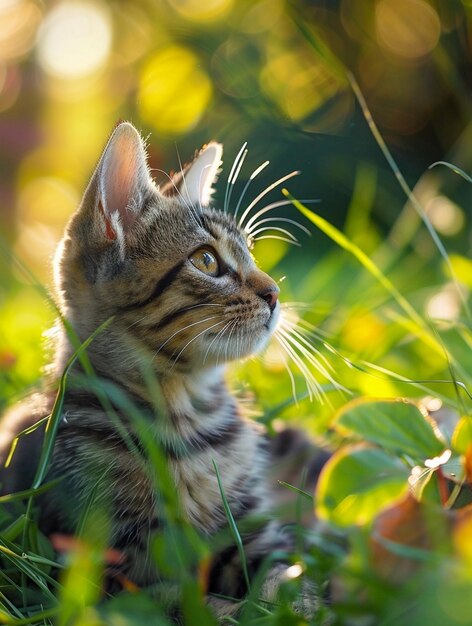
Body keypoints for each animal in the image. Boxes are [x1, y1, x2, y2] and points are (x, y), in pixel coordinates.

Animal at [0, 123, 328, 620]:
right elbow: (182, 601)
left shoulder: (255, 532)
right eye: (207, 261)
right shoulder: (103, 568)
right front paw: (230, 611)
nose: (275, 292)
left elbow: (286, 581)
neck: (182, 417)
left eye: (250, 254)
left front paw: (302, 607)